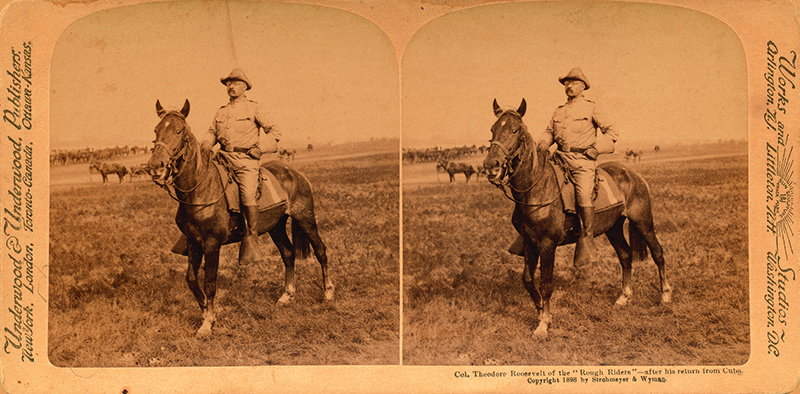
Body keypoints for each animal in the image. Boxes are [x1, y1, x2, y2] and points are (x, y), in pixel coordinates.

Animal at [147, 100, 334, 338]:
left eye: (179, 131)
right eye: (156, 130)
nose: (155, 166)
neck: (201, 188)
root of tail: (297, 174)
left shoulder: (212, 243)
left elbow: (209, 282)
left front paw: (208, 323)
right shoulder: (193, 242)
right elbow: (191, 279)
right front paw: (205, 312)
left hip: (305, 218)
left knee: (321, 251)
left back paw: (328, 293)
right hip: (276, 227)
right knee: (288, 254)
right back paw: (287, 295)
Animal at [484, 99, 672, 338]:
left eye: (515, 130)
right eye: (493, 129)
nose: (491, 166)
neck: (537, 188)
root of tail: (634, 175)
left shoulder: (547, 245)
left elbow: (546, 283)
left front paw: (543, 324)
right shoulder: (529, 242)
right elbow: (527, 280)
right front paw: (541, 313)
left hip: (643, 222)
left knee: (658, 253)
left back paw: (665, 295)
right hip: (614, 228)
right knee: (625, 256)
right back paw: (624, 297)